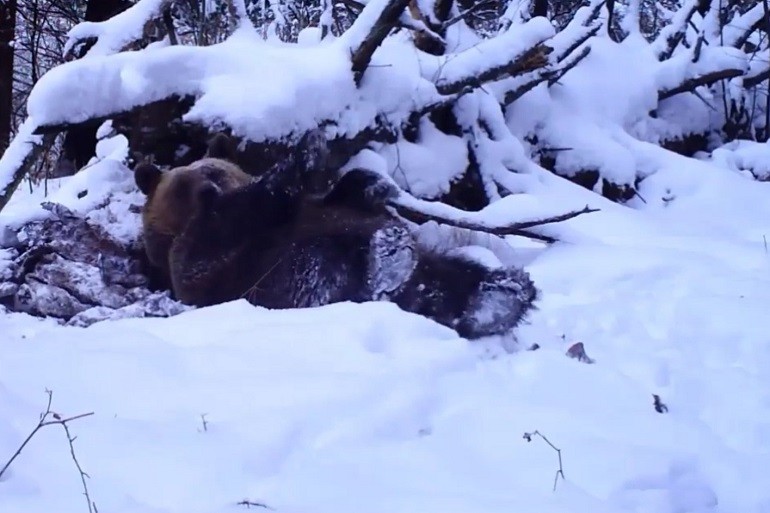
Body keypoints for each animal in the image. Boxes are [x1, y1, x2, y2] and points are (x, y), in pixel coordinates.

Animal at [134, 130, 540, 338]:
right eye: (185, 183)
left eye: (217, 169)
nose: (209, 183)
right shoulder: (207, 261)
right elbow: (225, 230)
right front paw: (301, 155)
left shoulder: (319, 207)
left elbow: (349, 189)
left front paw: (373, 183)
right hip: (284, 280)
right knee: (319, 270)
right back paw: (389, 260)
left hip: (429, 268)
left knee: (451, 277)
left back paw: (502, 295)